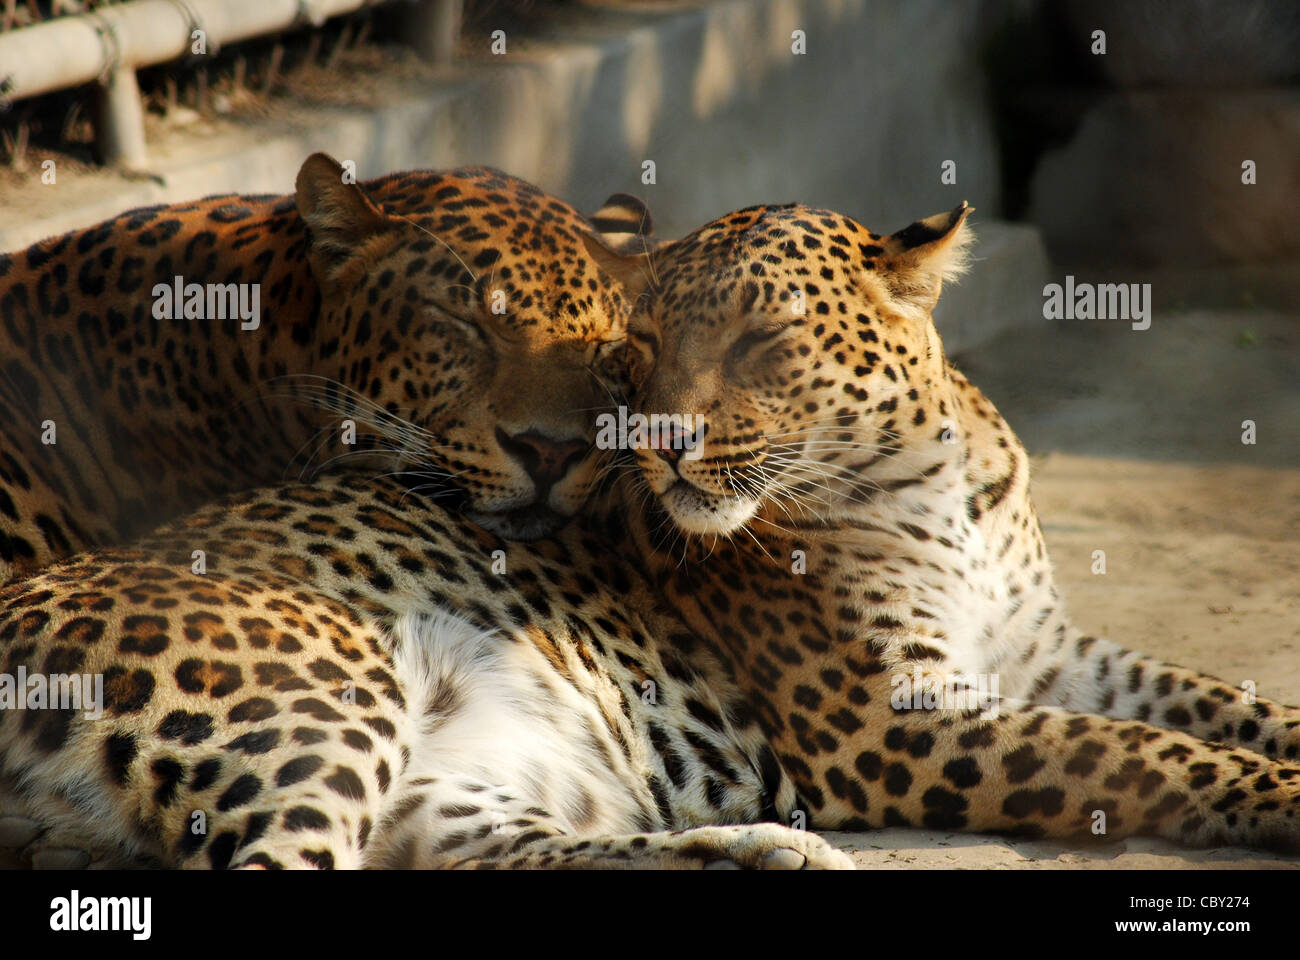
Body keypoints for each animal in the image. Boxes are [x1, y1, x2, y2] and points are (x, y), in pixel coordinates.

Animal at [585, 197, 1300, 848]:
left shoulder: (1043, 652)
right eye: (645, 341)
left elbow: (1211, 698)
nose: (657, 439)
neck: (943, 497)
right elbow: (1135, 748)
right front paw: (1285, 792)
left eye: (761, 336)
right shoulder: (892, 715)